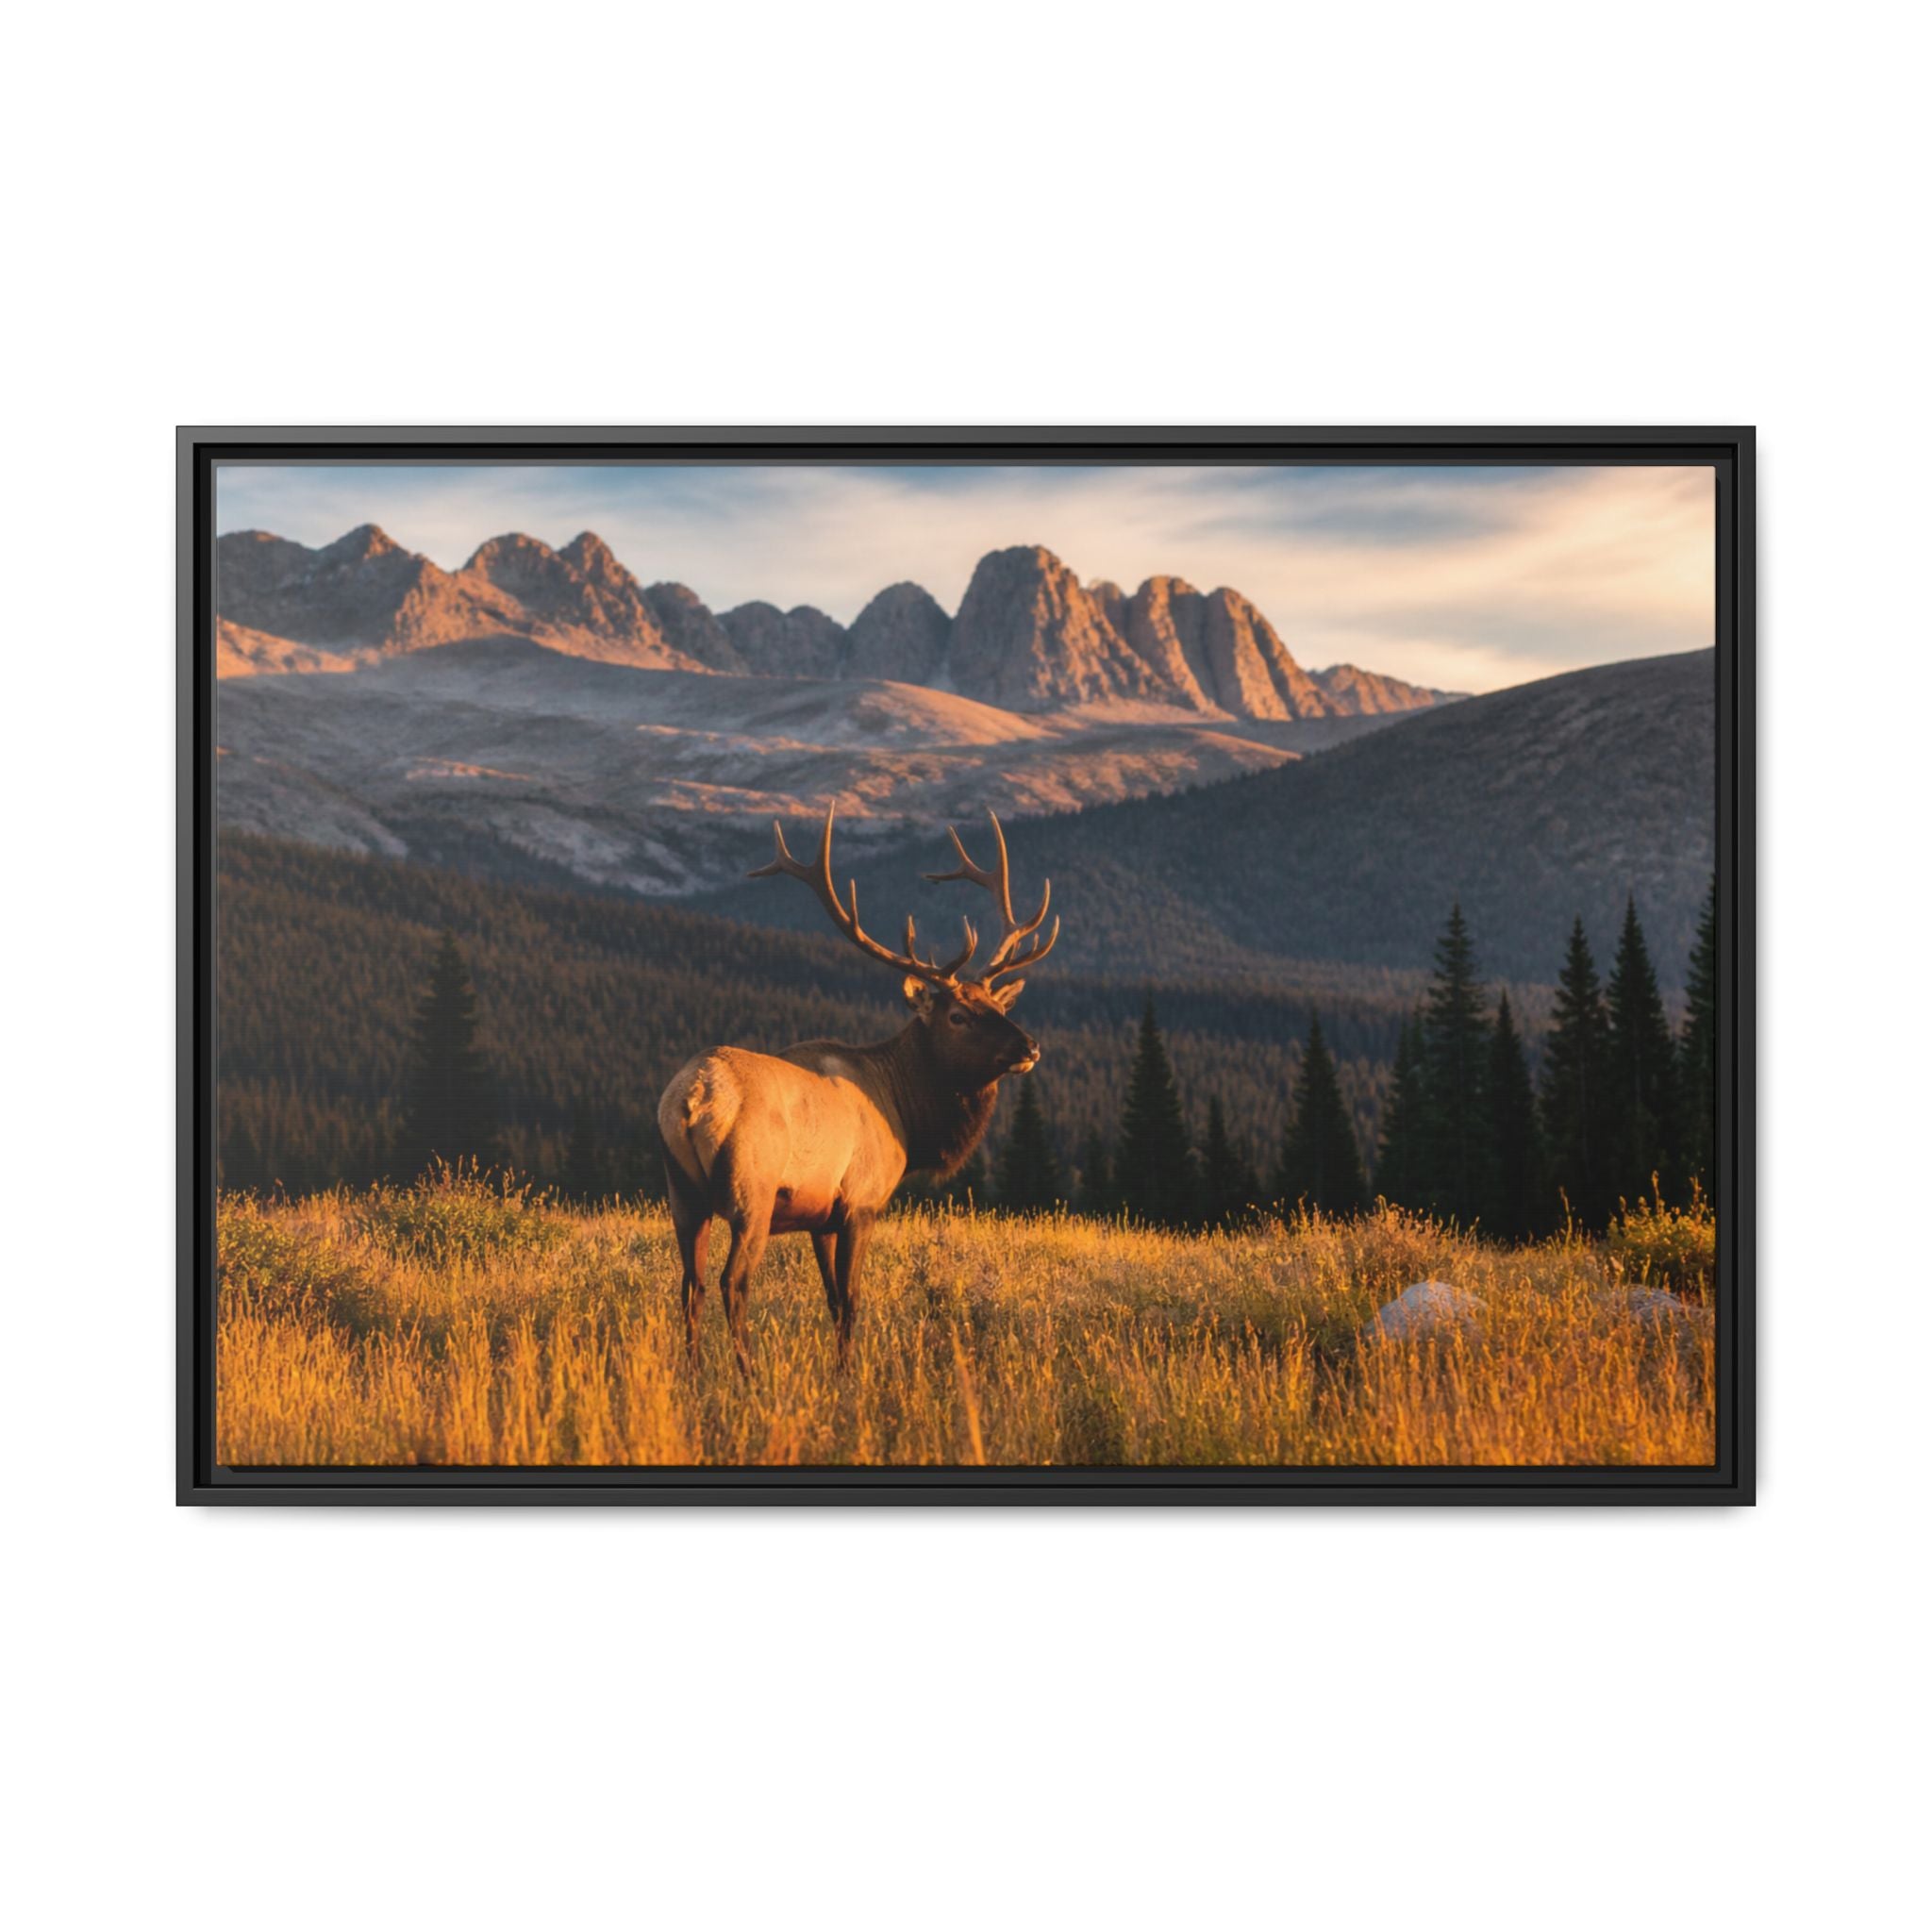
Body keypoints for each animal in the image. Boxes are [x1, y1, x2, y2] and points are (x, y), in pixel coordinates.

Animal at [657, 803, 1058, 1375]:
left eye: (997, 1006)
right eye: (958, 1016)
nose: (1030, 1046)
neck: (906, 1116)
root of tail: (692, 1099)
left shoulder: (821, 1218)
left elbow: (830, 1299)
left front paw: (840, 1368)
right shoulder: (861, 1202)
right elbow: (851, 1299)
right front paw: (848, 1375)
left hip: (683, 1195)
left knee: (690, 1285)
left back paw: (693, 1373)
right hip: (751, 1192)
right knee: (733, 1282)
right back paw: (748, 1375)